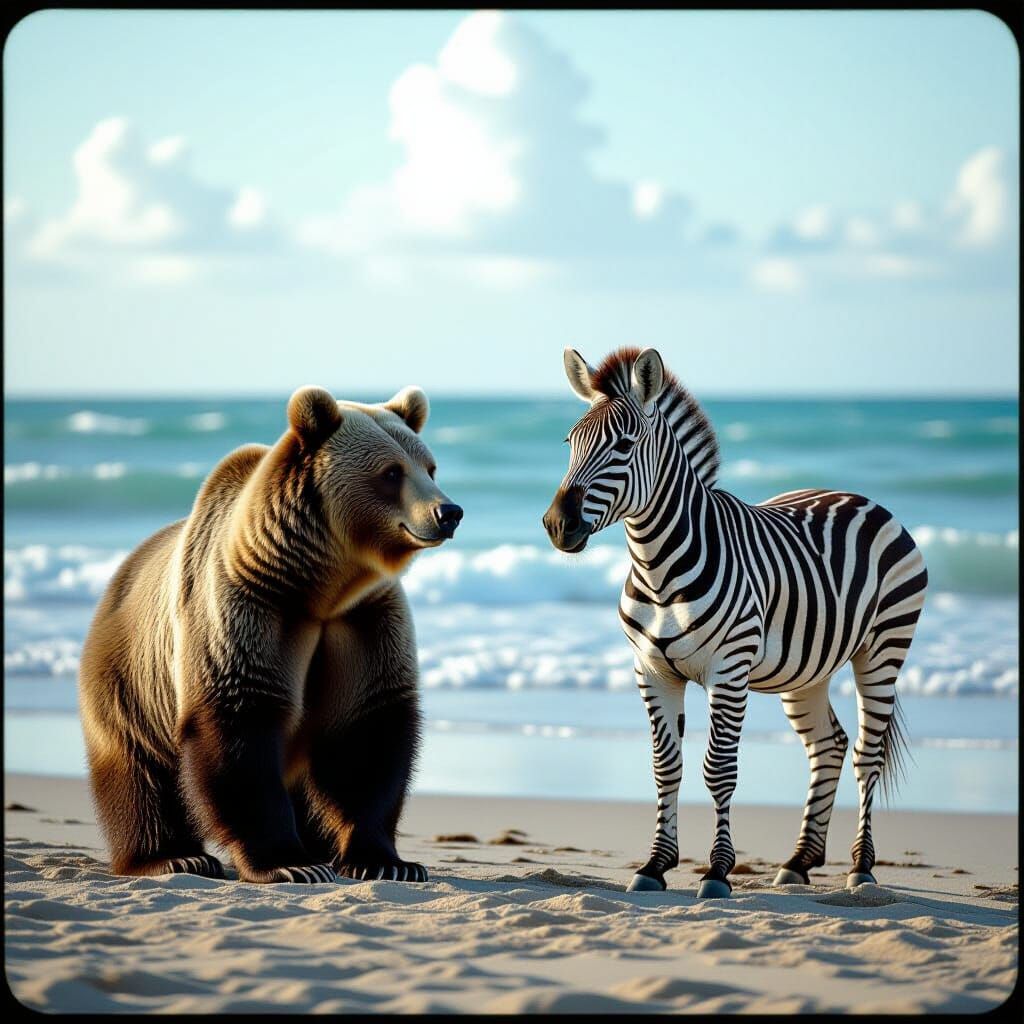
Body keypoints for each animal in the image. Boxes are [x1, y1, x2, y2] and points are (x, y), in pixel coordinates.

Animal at [78, 384, 462, 884]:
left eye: (429, 467)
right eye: (392, 472)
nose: (447, 512)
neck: (319, 589)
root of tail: (121, 572)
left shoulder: (364, 620)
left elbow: (367, 733)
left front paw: (387, 861)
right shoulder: (250, 608)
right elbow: (241, 721)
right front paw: (289, 863)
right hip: (130, 680)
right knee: (139, 772)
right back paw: (172, 856)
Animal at [542, 346, 928, 899]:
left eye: (624, 445)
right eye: (570, 444)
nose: (557, 525)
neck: (658, 569)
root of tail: (860, 497)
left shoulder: (729, 668)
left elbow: (719, 769)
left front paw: (718, 871)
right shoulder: (651, 671)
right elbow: (666, 768)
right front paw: (655, 865)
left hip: (883, 650)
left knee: (865, 754)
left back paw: (862, 868)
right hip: (807, 671)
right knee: (828, 746)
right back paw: (798, 862)